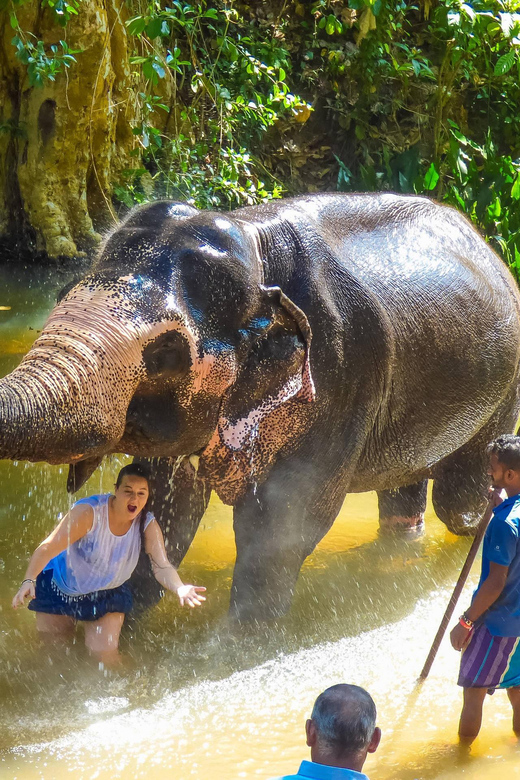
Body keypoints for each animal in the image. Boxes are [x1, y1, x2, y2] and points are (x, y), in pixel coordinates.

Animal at [1, 195, 520, 620]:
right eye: (62, 296)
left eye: (166, 352)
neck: (254, 241)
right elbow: (170, 504)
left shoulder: (342, 375)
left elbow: (283, 521)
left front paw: (230, 648)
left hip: (504, 389)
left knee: (458, 502)